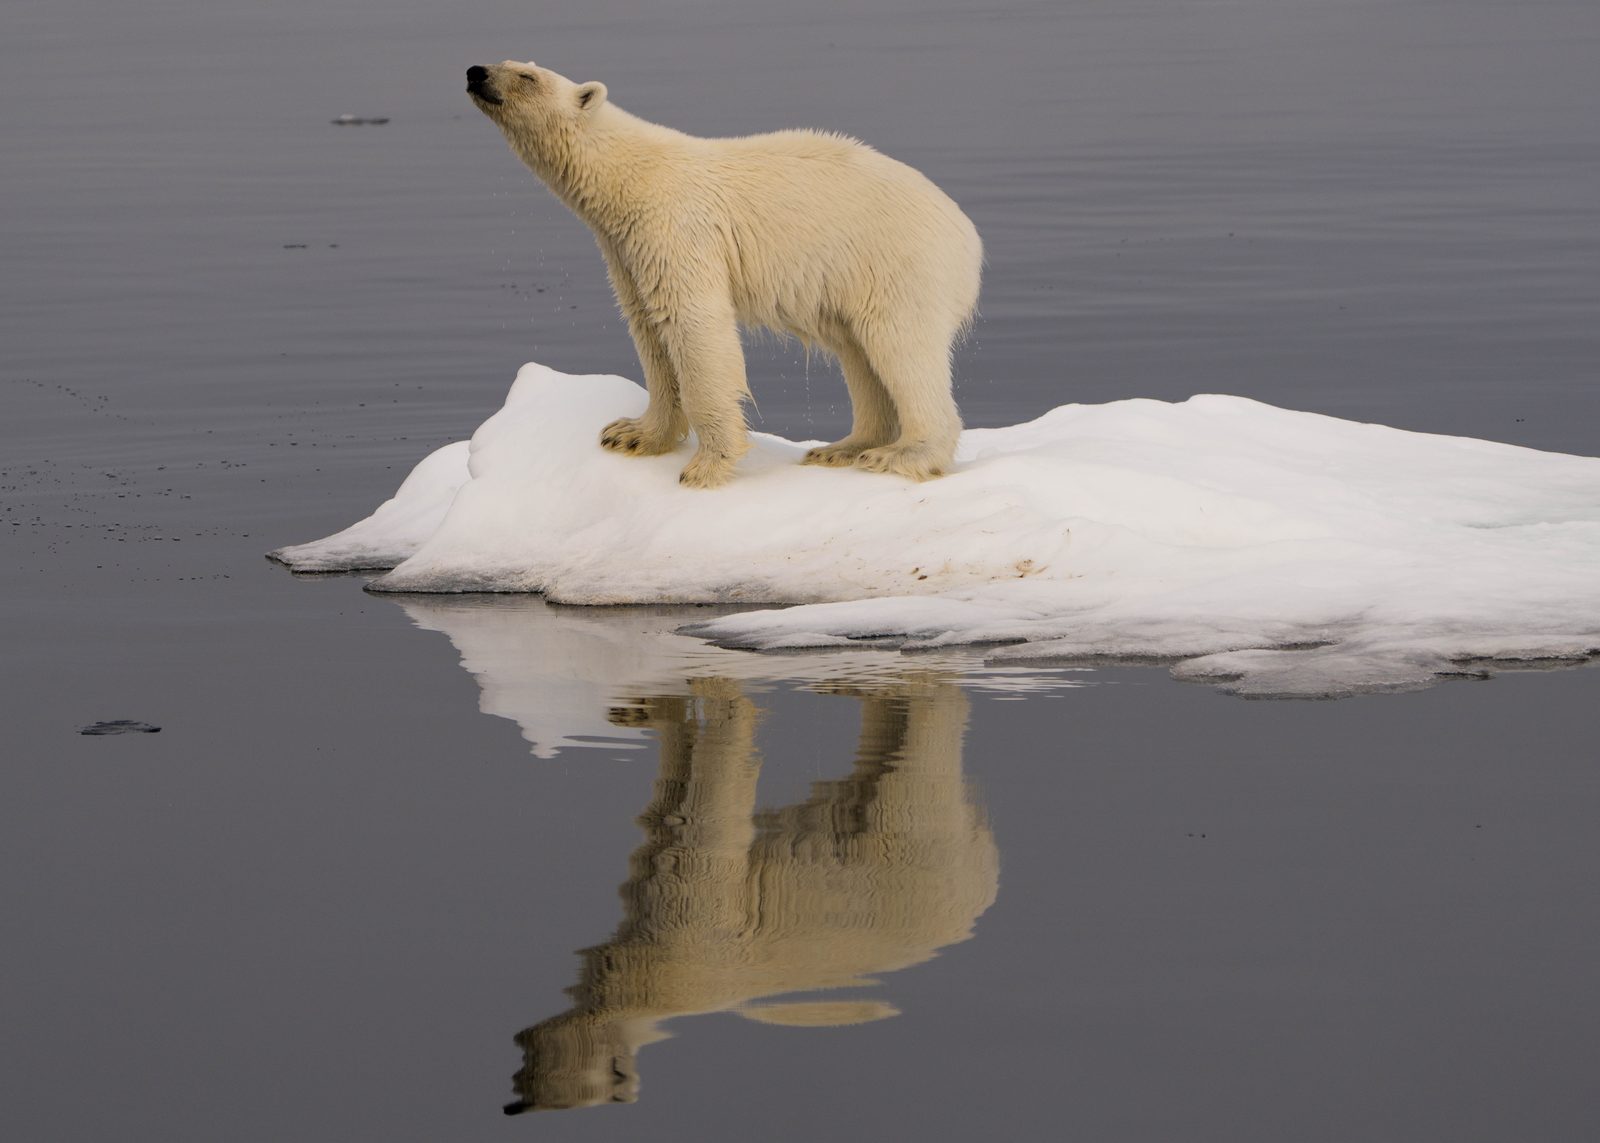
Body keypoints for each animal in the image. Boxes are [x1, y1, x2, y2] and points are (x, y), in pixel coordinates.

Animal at [466, 60, 983, 488]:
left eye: (527, 75)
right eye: (505, 60)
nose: (476, 72)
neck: (630, 178)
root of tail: (968, 237)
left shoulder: (677, 228)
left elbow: (694, 326)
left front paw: (707, 465)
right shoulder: (627, 251)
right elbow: (649, 330)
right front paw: (631, 433)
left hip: (897, 263)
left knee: (901, 348)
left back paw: (902, 456)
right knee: (858, 354)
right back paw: (843, 448)